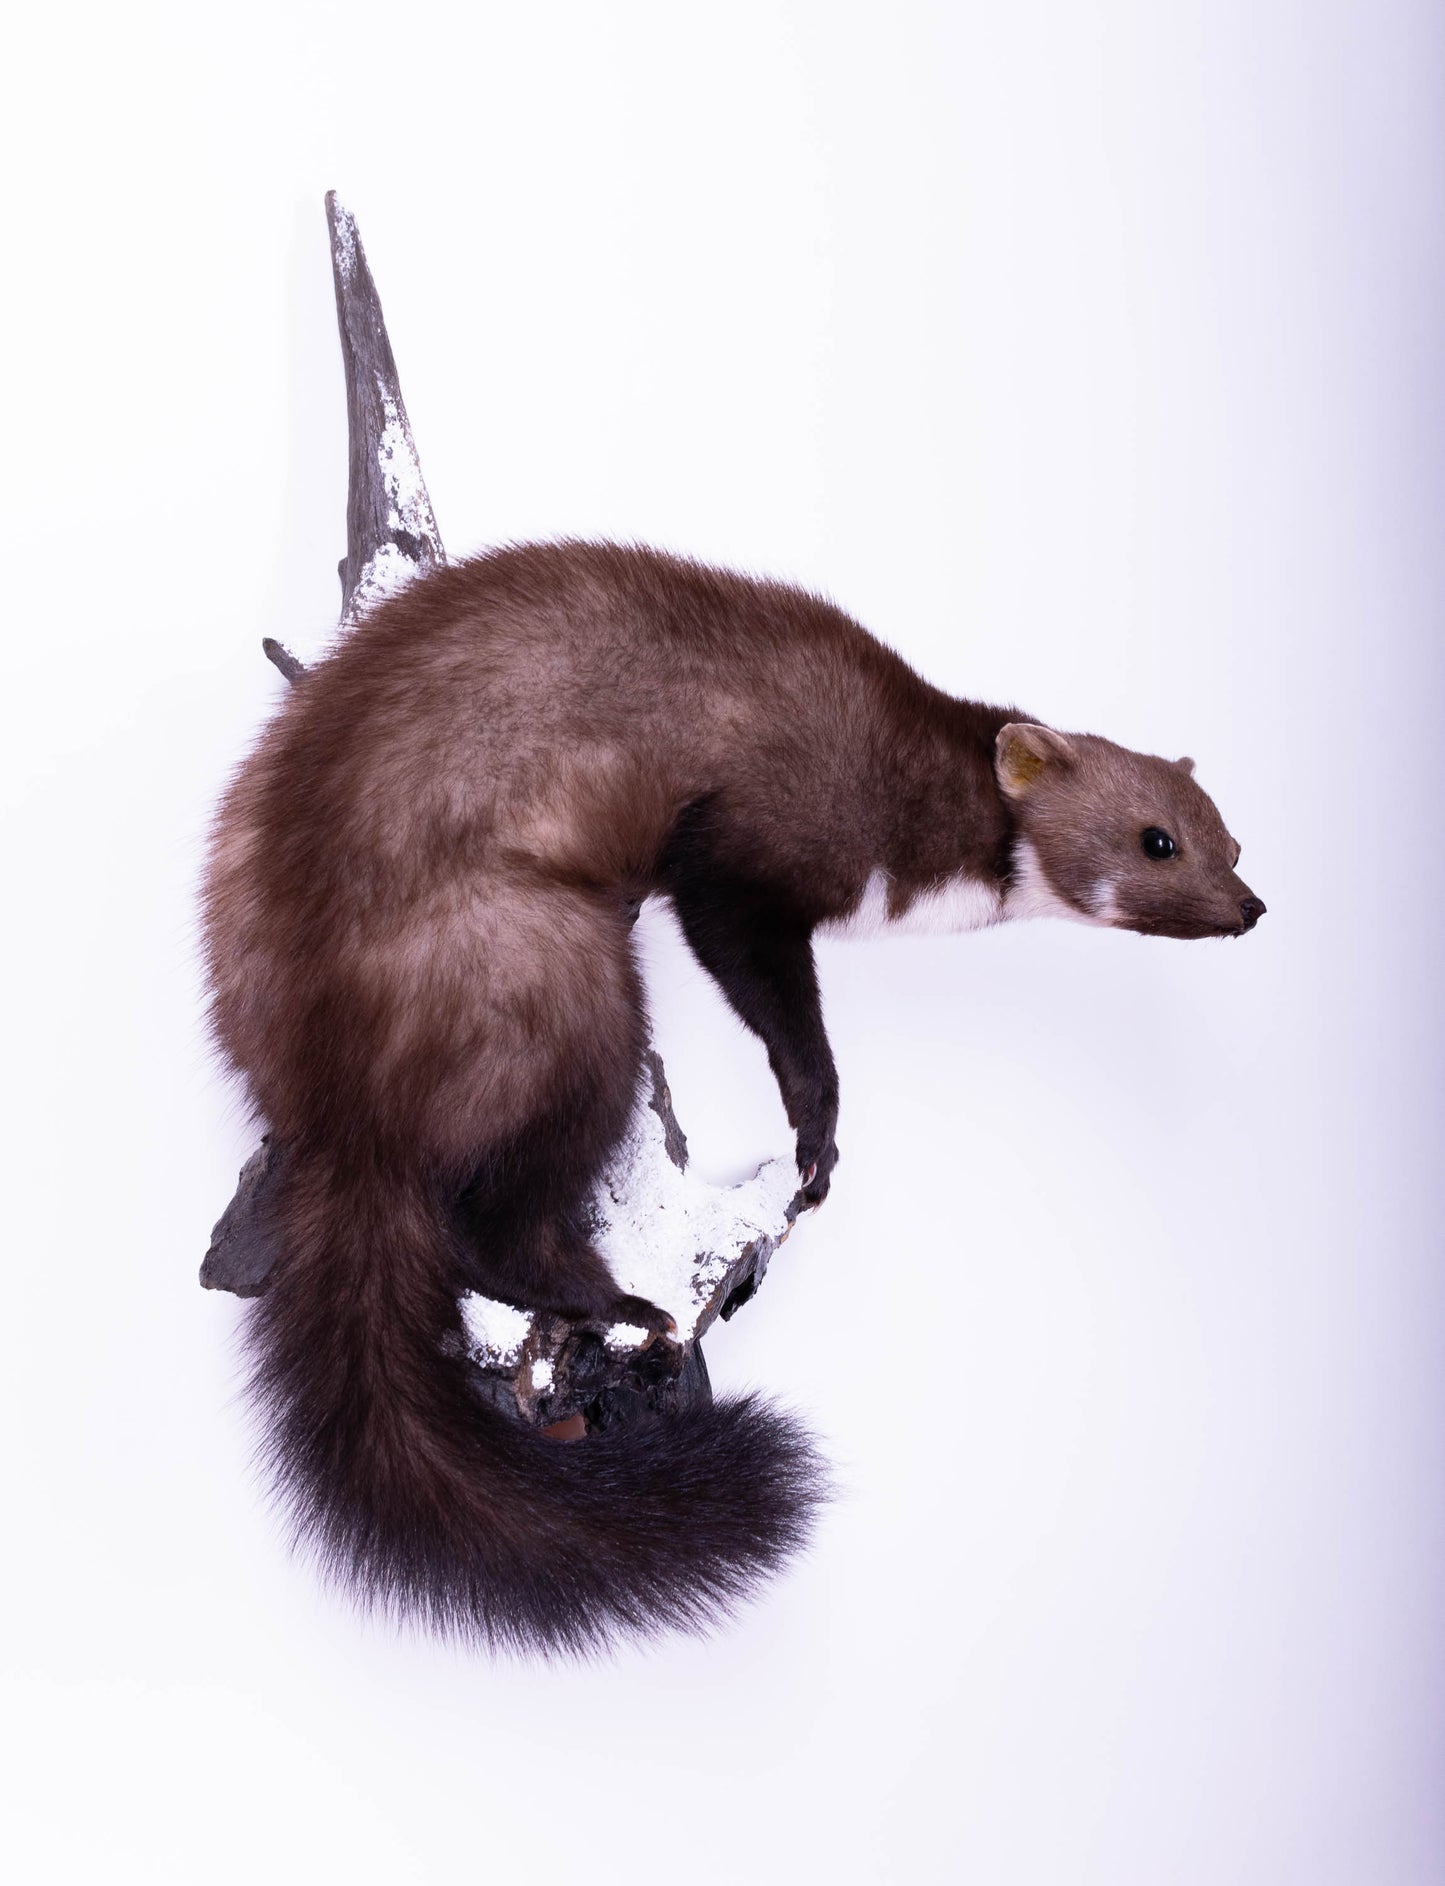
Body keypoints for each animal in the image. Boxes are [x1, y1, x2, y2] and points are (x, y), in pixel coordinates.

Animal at [203, 539, 1265, 1654]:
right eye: (1156, 838)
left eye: (1229, 836)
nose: (1250, 905)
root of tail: (335, 1091)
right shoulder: (742, 856)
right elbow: (772, 994)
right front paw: (817, 1131)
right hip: (561, 972)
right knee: (492, 1219)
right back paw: (622, 1300)